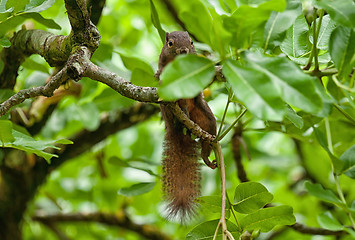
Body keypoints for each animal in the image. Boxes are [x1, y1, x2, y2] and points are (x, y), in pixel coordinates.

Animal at [157, 31, 218, 219]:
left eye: (191, 42)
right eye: (170, 43)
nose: (183, 50)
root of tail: (177, 129)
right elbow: (161, 73)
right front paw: (158, 75)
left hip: (205, 118)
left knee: (206, 140)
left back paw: (206, 157)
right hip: (169, 110)